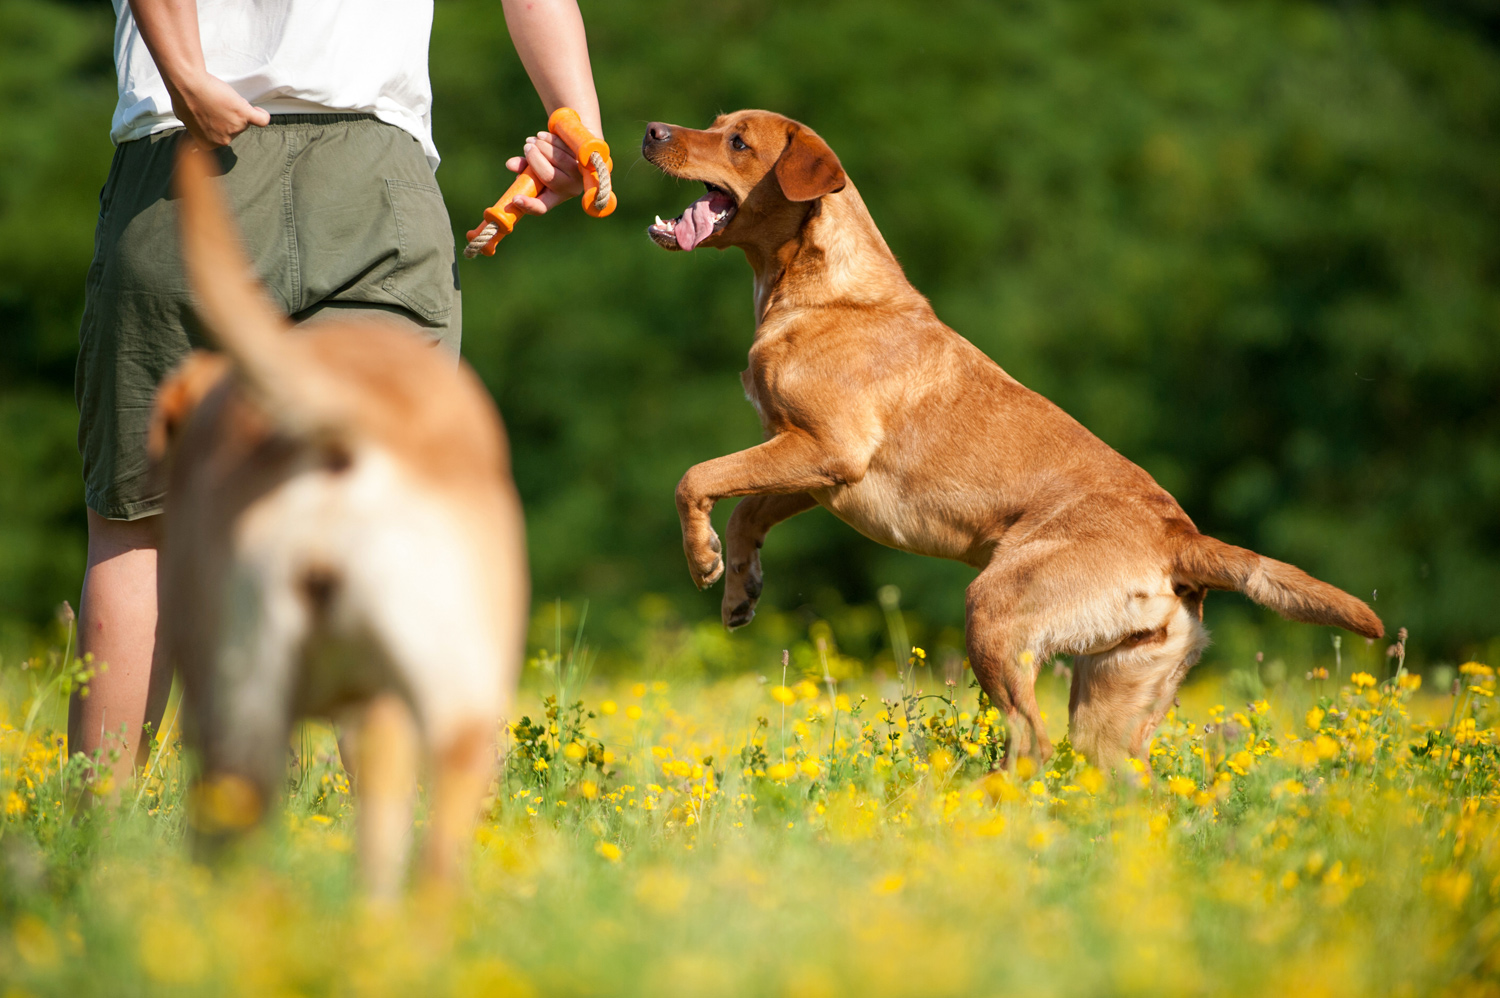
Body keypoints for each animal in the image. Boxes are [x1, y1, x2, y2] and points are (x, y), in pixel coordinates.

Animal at [639, 108, 1374, 765]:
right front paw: (737, 588)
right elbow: (746, 512)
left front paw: (700, 560)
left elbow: (695, 478)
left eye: (738, 141)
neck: (817, 289)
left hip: (994, 610)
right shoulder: (811, 468)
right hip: (1114, 693)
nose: (651, 131)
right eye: (714, 122)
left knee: (1030, 741)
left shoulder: (826, 450)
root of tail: (1180, 540)